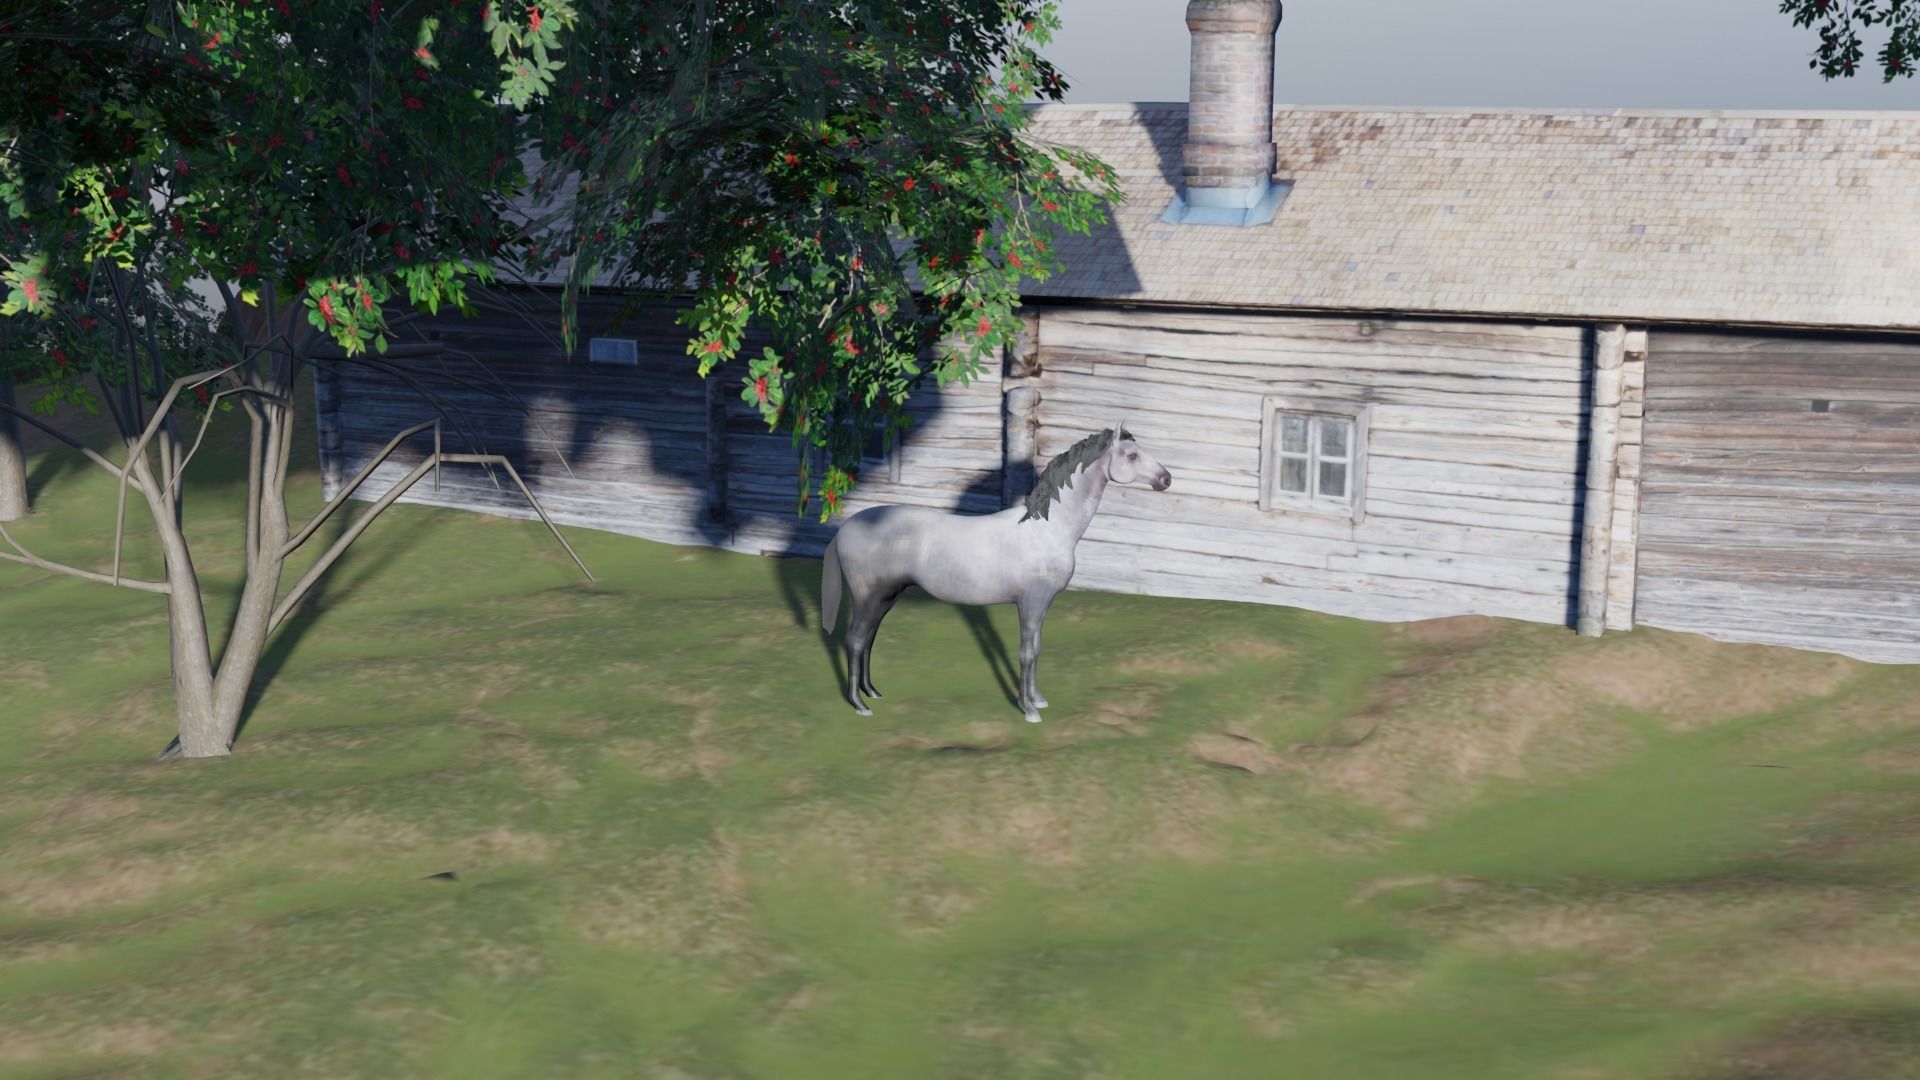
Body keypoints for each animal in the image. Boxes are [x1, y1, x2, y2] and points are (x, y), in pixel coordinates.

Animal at [820, 419, 1173, 723]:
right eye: (1131, 455)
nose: (1166, 479)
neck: (1048, 529)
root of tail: (845, 528)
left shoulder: (1042, 604)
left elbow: (1038, 649)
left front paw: (1038, 699)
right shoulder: (1030, 603)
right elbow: (1026, 653)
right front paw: (1028, 710)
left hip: (887, 597)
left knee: (868, 639)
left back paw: (872, 692)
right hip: (869, 597)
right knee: (854, 640)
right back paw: (859, 705)